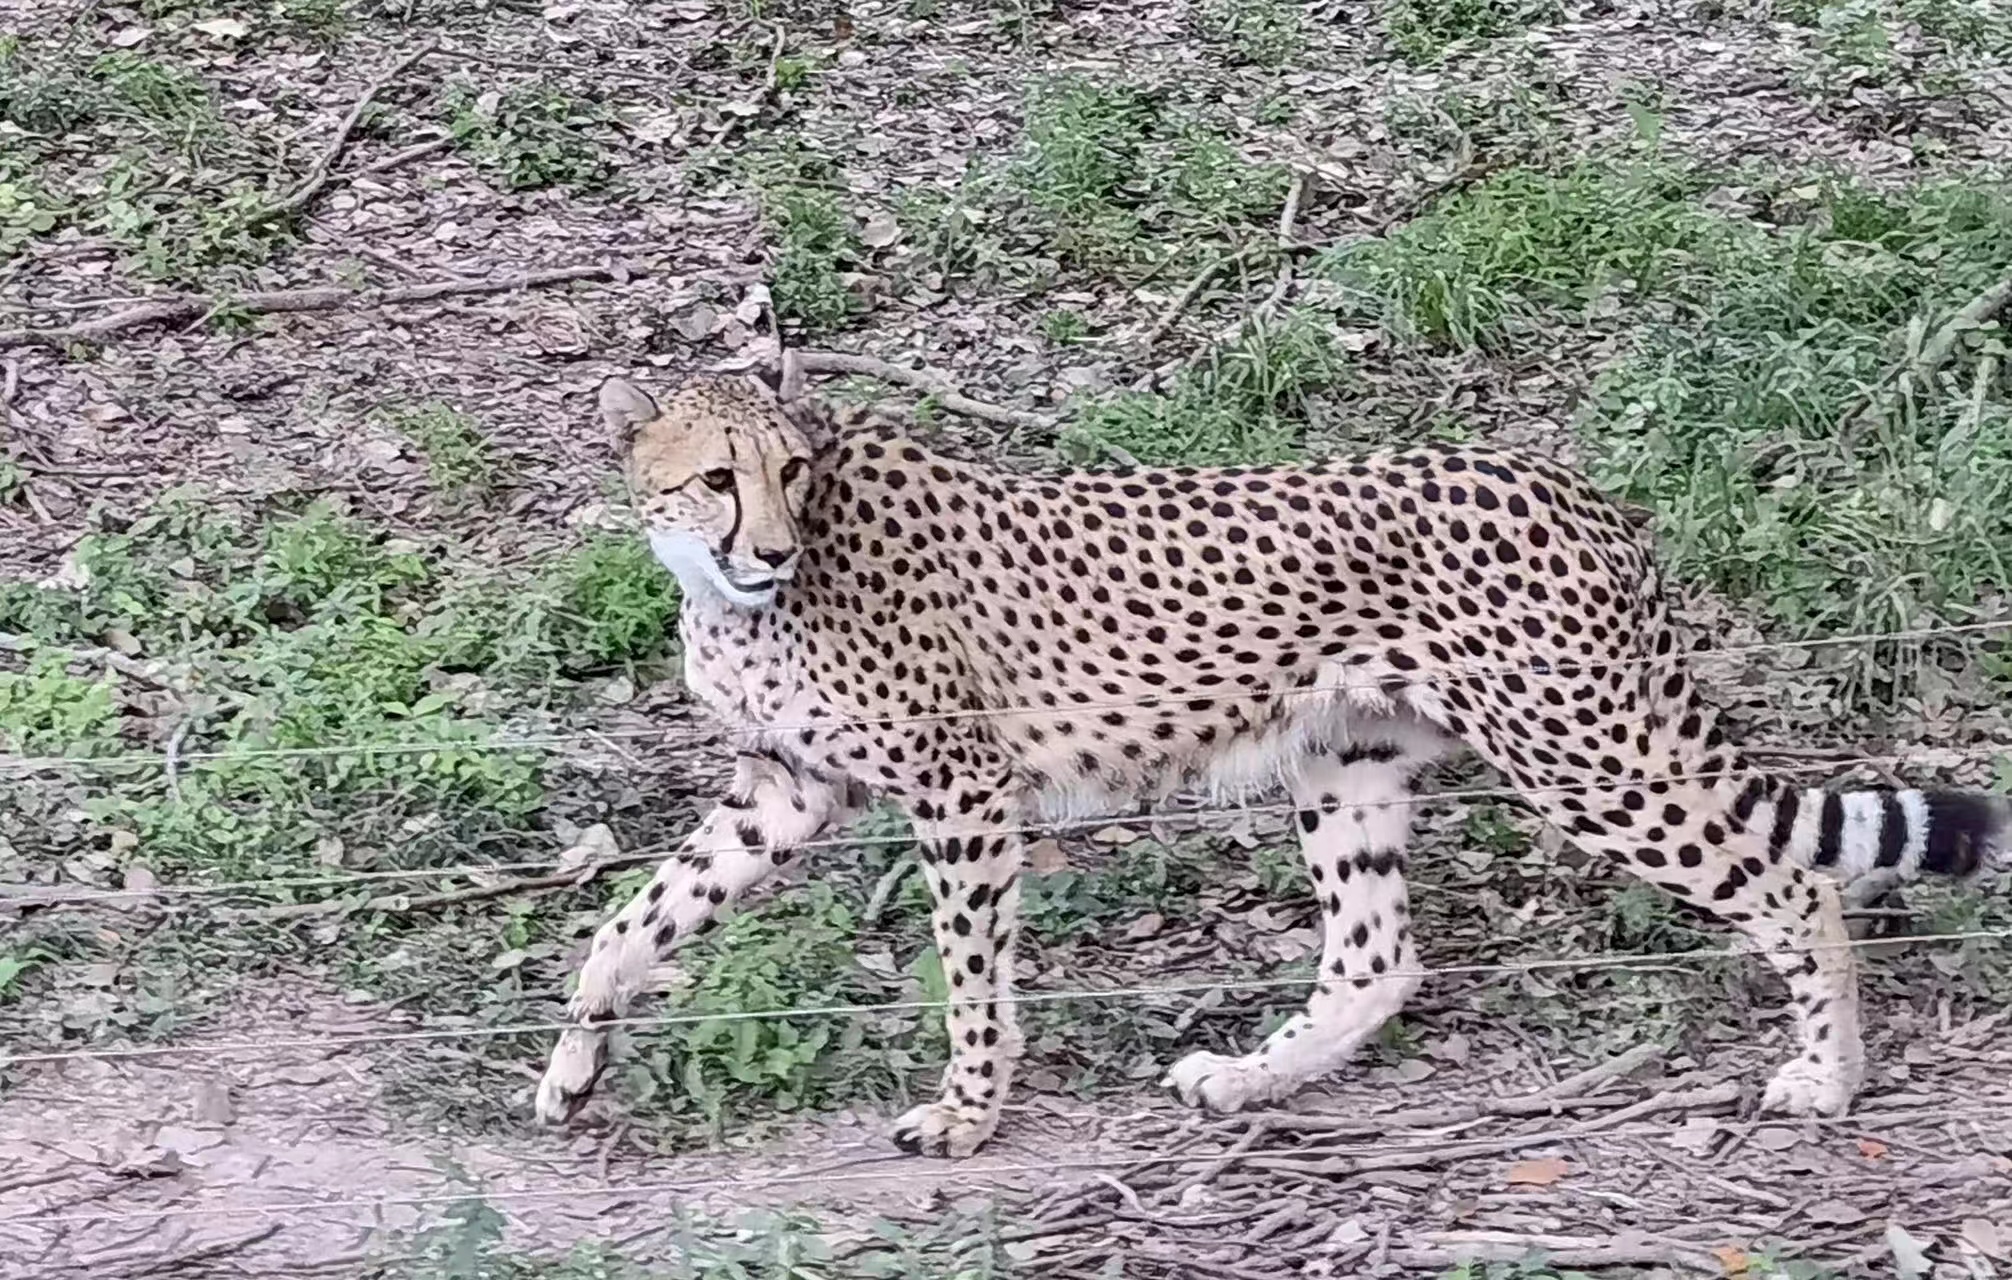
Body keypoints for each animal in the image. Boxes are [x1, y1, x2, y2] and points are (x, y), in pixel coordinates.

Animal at [534, 365, 2008, 1158]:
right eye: (718, 477)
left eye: (790, 469)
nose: (771, 544)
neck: (728, 594)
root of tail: (1578, 490)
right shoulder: (786, 789)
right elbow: (634, 920)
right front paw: (570, 1065)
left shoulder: (961, 787)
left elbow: (971, 974)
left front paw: (965, 1114)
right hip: (1344, 758)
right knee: (1377, 953)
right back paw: (1251, 1078)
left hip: (1582, 752)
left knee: (1789, 884)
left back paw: (1828, 1075)